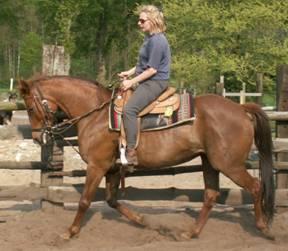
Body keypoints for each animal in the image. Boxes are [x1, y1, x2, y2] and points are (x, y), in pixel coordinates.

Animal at [18, 76, 274, 239]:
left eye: (29, 108)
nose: (38, 138)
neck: (97, 115)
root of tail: (240, 109)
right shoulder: (112, 169)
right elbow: (112, 200)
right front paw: (143, 220)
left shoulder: (97, 166)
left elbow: (85, 201)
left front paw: (70, 232)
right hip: (210, 162)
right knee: (211, 195)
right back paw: (190, 233)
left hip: (229, 164)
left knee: (256, 186)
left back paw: (264, 227)